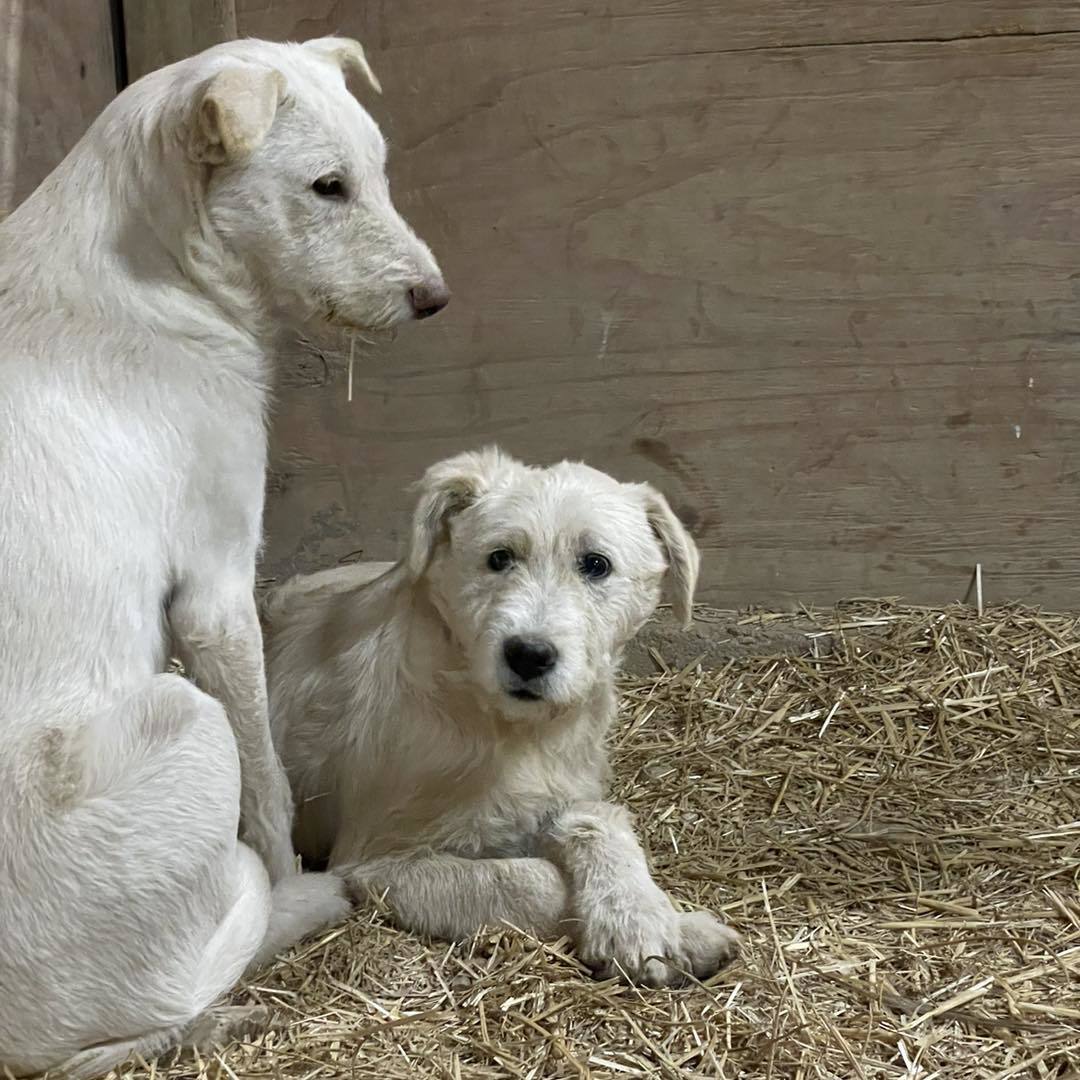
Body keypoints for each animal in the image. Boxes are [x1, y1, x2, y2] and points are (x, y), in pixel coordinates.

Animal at [1, 33, 447, 1080]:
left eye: (377, 172)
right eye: (327, 186)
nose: (435, 298)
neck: (154, 271)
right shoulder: (213, 591)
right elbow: (269, 779)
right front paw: (289, 864)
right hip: (184, 719)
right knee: (189, 973)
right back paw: (305, 902)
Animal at [266, 449, 743, 989]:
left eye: (595, 565)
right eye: (499, 558)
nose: (529, 655)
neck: (507, 726)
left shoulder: (561, 793)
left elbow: (599, 820)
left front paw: (649, 920)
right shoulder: (376, 862)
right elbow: (531, 879)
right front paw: (660, 932)